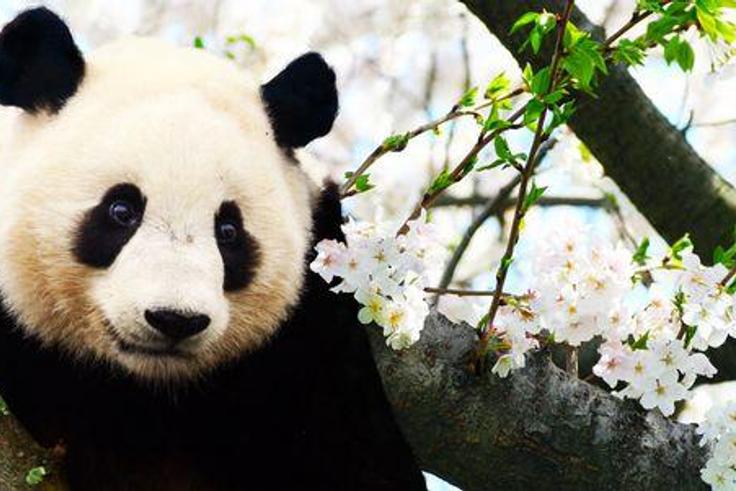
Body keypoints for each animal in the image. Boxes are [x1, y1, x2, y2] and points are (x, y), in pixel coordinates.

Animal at [0, 8, 426, 491]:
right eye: (121, 210)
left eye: (228, 230)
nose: (174, 319)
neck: (146, 390)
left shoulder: (313, 334)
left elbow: (363, 455)